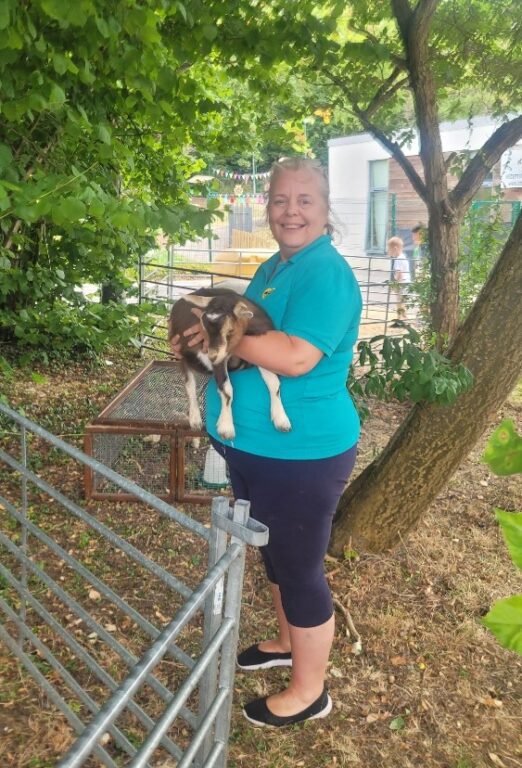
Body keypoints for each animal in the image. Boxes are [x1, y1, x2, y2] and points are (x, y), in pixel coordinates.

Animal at [167, 288, 290, 440]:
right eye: (202, 328)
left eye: (230, 331)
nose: (212, 356)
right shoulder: (219, 360)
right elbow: (227, 389)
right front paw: (226, 427)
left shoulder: (262, 355)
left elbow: (274, 383)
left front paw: (281, 419)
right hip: (182, 357)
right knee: (190, 385)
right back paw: (195, 419)